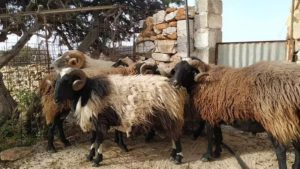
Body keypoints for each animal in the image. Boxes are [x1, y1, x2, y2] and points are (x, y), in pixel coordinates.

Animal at [52, 68, 186, 166]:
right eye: (57, 81)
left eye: (67, 81)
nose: (55, 99)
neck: (86, 93)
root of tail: (173, 87)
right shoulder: (93, 121)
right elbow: (93, 140)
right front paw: (90, 156)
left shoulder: (101, 121)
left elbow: (98, 140)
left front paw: (97, 160)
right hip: (167, 118)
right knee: (173, 136)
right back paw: (172, 155)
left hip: (171, 115)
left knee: (176, 136)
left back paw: (178, 158)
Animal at [170, 58, 300, 169]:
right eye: (175, 70)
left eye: (187, 70)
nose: (174, 83)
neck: (202, 82)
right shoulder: (216, 116)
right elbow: (218, 135)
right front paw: (217, 153)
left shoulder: (210, 116)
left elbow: (210, 137)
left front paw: (207, 156)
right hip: (292, 121)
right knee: (297, 146)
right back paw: (295, 166)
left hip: (276, 121)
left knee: (281, 150)